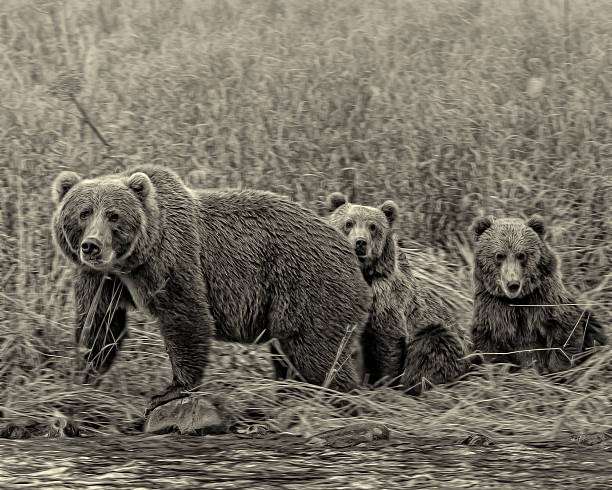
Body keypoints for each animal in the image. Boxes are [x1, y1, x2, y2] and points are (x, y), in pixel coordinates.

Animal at [52, 165, 370, 410]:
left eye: (113, 215)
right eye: (84, 213)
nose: (92, 246)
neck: (131, 262)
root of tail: (349, 253)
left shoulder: (174, 257)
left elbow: (186, 315)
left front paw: (169, 390)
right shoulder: (102, 279)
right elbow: (100, 324)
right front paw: (81, 373)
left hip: (309, 285)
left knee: (317, 351)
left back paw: (341, 399)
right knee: (289, 353)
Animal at [328, 193, 470, 392]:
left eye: (373, 226)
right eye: (349, 223)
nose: (360, 242)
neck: (365, 273)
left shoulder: (387, 301)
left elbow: (387, 343)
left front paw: (382, 383)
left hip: (440, 334)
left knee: (432, 347)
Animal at [470, 214, 604, 372]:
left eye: (521, 255)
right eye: (499, 255)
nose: (513, 284)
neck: (517, 300)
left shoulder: (544, 301)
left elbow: (563, 334)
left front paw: (557, 370)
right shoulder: (493, 308)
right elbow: (490, 346)